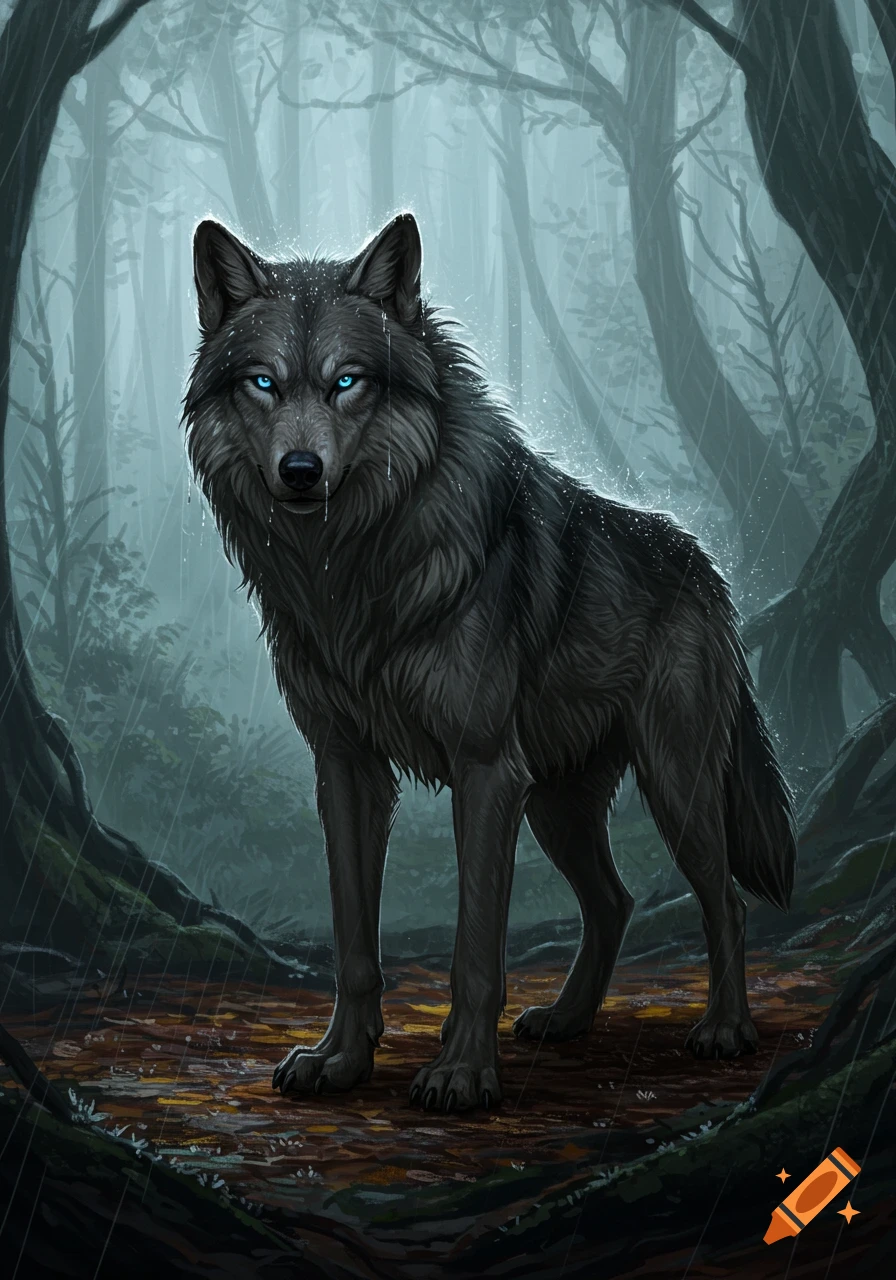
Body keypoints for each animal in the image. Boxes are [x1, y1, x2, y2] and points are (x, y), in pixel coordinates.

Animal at [185, 212, 797, 1113]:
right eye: (264, 383)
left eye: (346, 382)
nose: (300, 473)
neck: (353, 567)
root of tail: (704, 566)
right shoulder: (347, 769)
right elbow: (353, 941)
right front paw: (341, 1061)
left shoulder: (484, 771)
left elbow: (475, 947)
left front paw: (464, 1074)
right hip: (557, 804)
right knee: (613, 902)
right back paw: (569, 1019)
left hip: (670, 780)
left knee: (725, 900)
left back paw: (725, 1029)